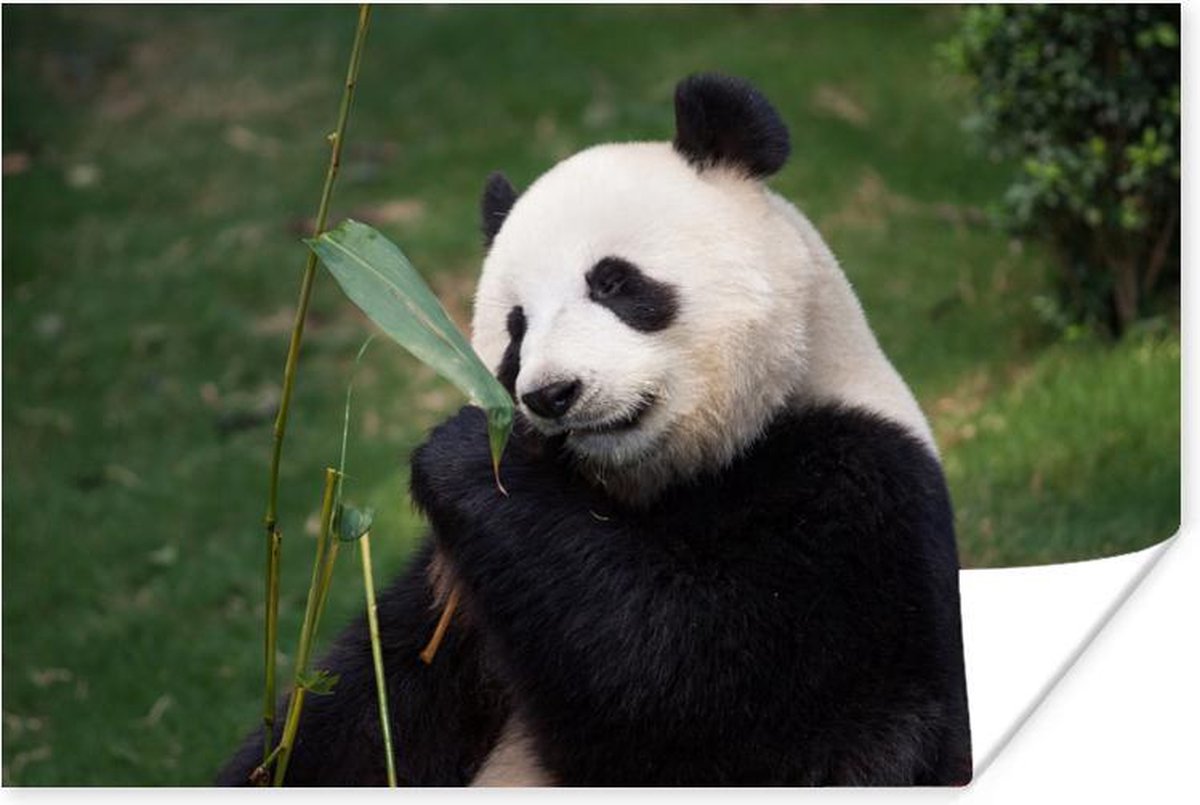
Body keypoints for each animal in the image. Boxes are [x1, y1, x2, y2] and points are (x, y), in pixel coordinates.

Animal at [219, 73, 972, 787]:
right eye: (517, 327)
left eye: (612, 282)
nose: (552, 395)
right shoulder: (458, 601)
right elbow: (364, 710)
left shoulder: (857, 503)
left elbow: (696, 690)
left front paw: (466, 452)